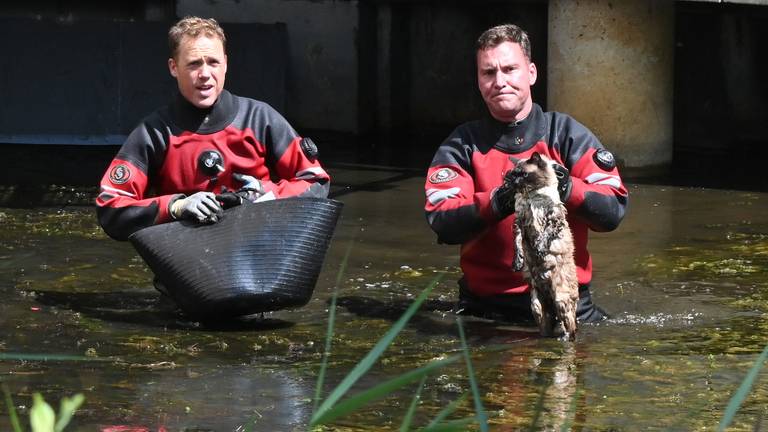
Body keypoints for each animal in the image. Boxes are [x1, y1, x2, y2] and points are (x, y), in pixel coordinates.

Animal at [504, 152, 576, 340]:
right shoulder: (519, 223)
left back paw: (564, 338)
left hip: (561, 301)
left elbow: (544, 237)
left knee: (571, 328)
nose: (512, 182)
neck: (532, 196)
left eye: (523, 174)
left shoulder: (554, 219)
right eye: (512, 174)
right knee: (547, 328)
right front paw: (518, 262)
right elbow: (517, 244)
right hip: (537, 306)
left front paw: (540, 248)